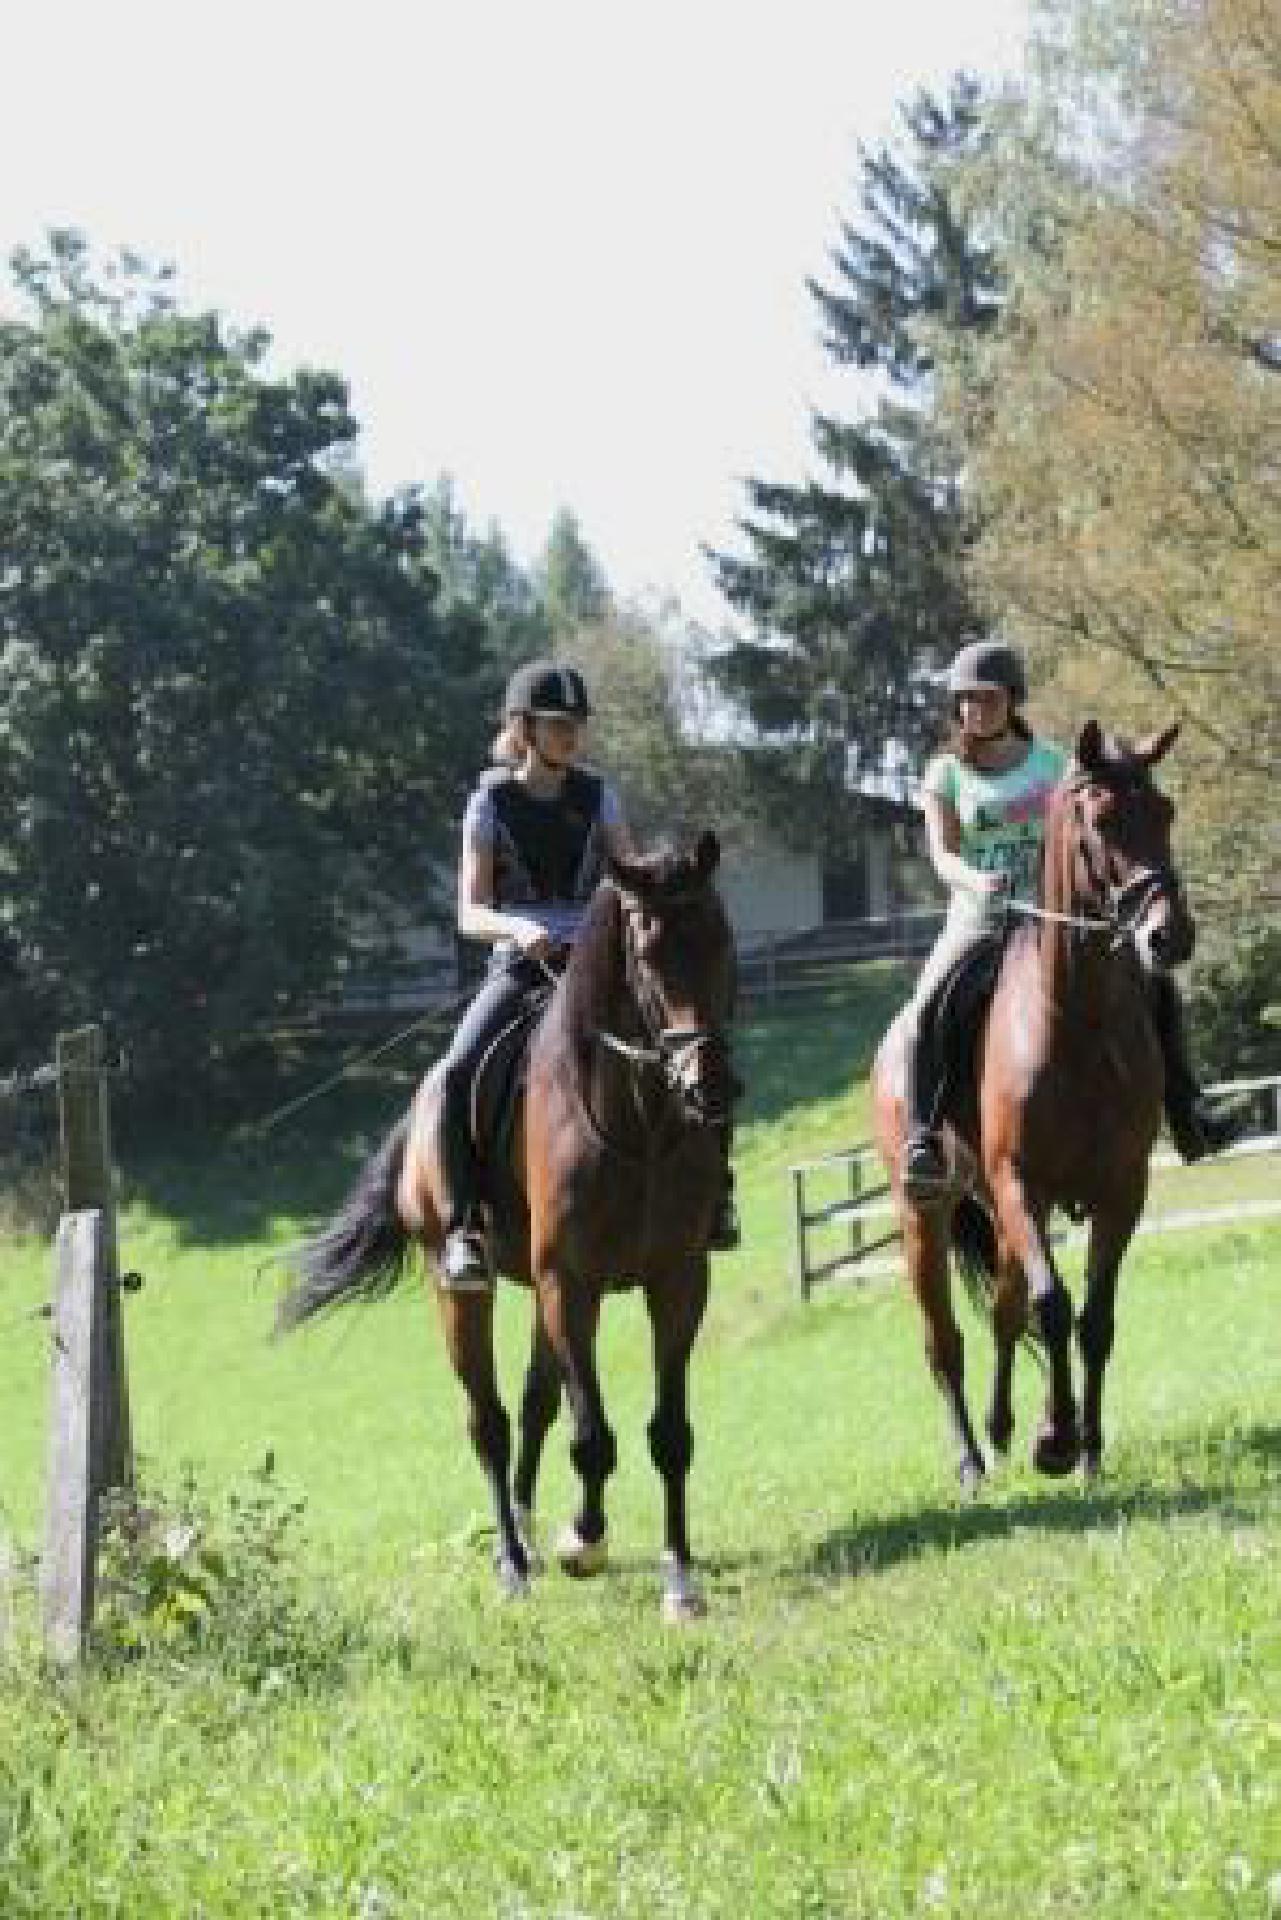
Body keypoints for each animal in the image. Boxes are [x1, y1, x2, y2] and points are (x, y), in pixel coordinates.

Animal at [276, 829, 737, 1620]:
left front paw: (679, 1580)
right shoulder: (568, 1283)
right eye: (647, 954)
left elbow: (668, 1435)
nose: (709, 1088)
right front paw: (583, 1541)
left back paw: (522, 1530)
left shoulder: (677, 1279)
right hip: (463, 1287)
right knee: (487, 1419)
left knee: (532, 1405)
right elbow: (593, 1437)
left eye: (720, 938)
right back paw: (513, 1562)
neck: (638, 1126)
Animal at [875, 721, 1198, 1482]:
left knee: (1001, 1310)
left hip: (998, 1213)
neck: (1077, 1021)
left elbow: (1094, 1318)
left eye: (1165, 812)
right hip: (924, 1216)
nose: (1168, 936)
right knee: (944, 1340)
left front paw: (1088, 1449)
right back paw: (969, 1462)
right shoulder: (1021, 1183)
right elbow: (1054, 1306)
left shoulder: (1121, 1189)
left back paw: (1000, 1429)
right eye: (1102, 822)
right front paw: (1056, 1441)